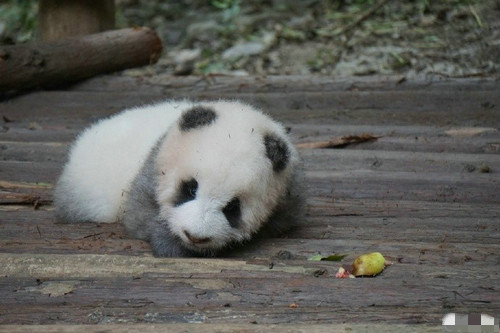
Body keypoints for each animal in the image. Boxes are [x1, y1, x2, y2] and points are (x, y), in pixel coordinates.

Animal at [55, 100, 304, 255]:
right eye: (190, 189)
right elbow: (138, 214)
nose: (195, 237)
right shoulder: (153, 166)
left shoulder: (287, 189)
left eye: (233, 207)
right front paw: (171, 244)